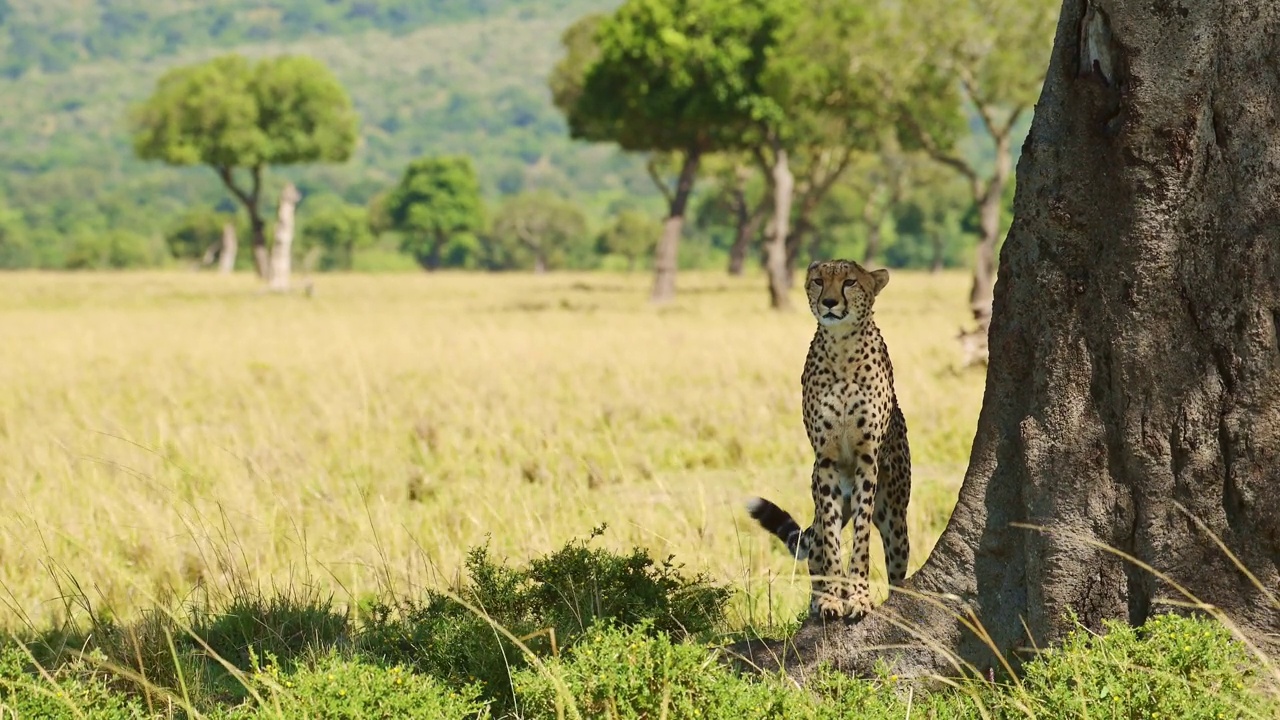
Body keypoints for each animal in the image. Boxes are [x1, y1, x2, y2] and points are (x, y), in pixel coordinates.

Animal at [742, 260, 911, 620]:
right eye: (819, 281)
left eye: (850, 282)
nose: (830, 303)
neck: (842, 349)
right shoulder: (826, 463)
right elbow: (832, 543)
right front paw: (833, 598)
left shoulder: (866, 461)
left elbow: (861, 539)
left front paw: (859, 597)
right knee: (817, 549)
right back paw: (817, 600)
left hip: (895, 516)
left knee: (897, 563)